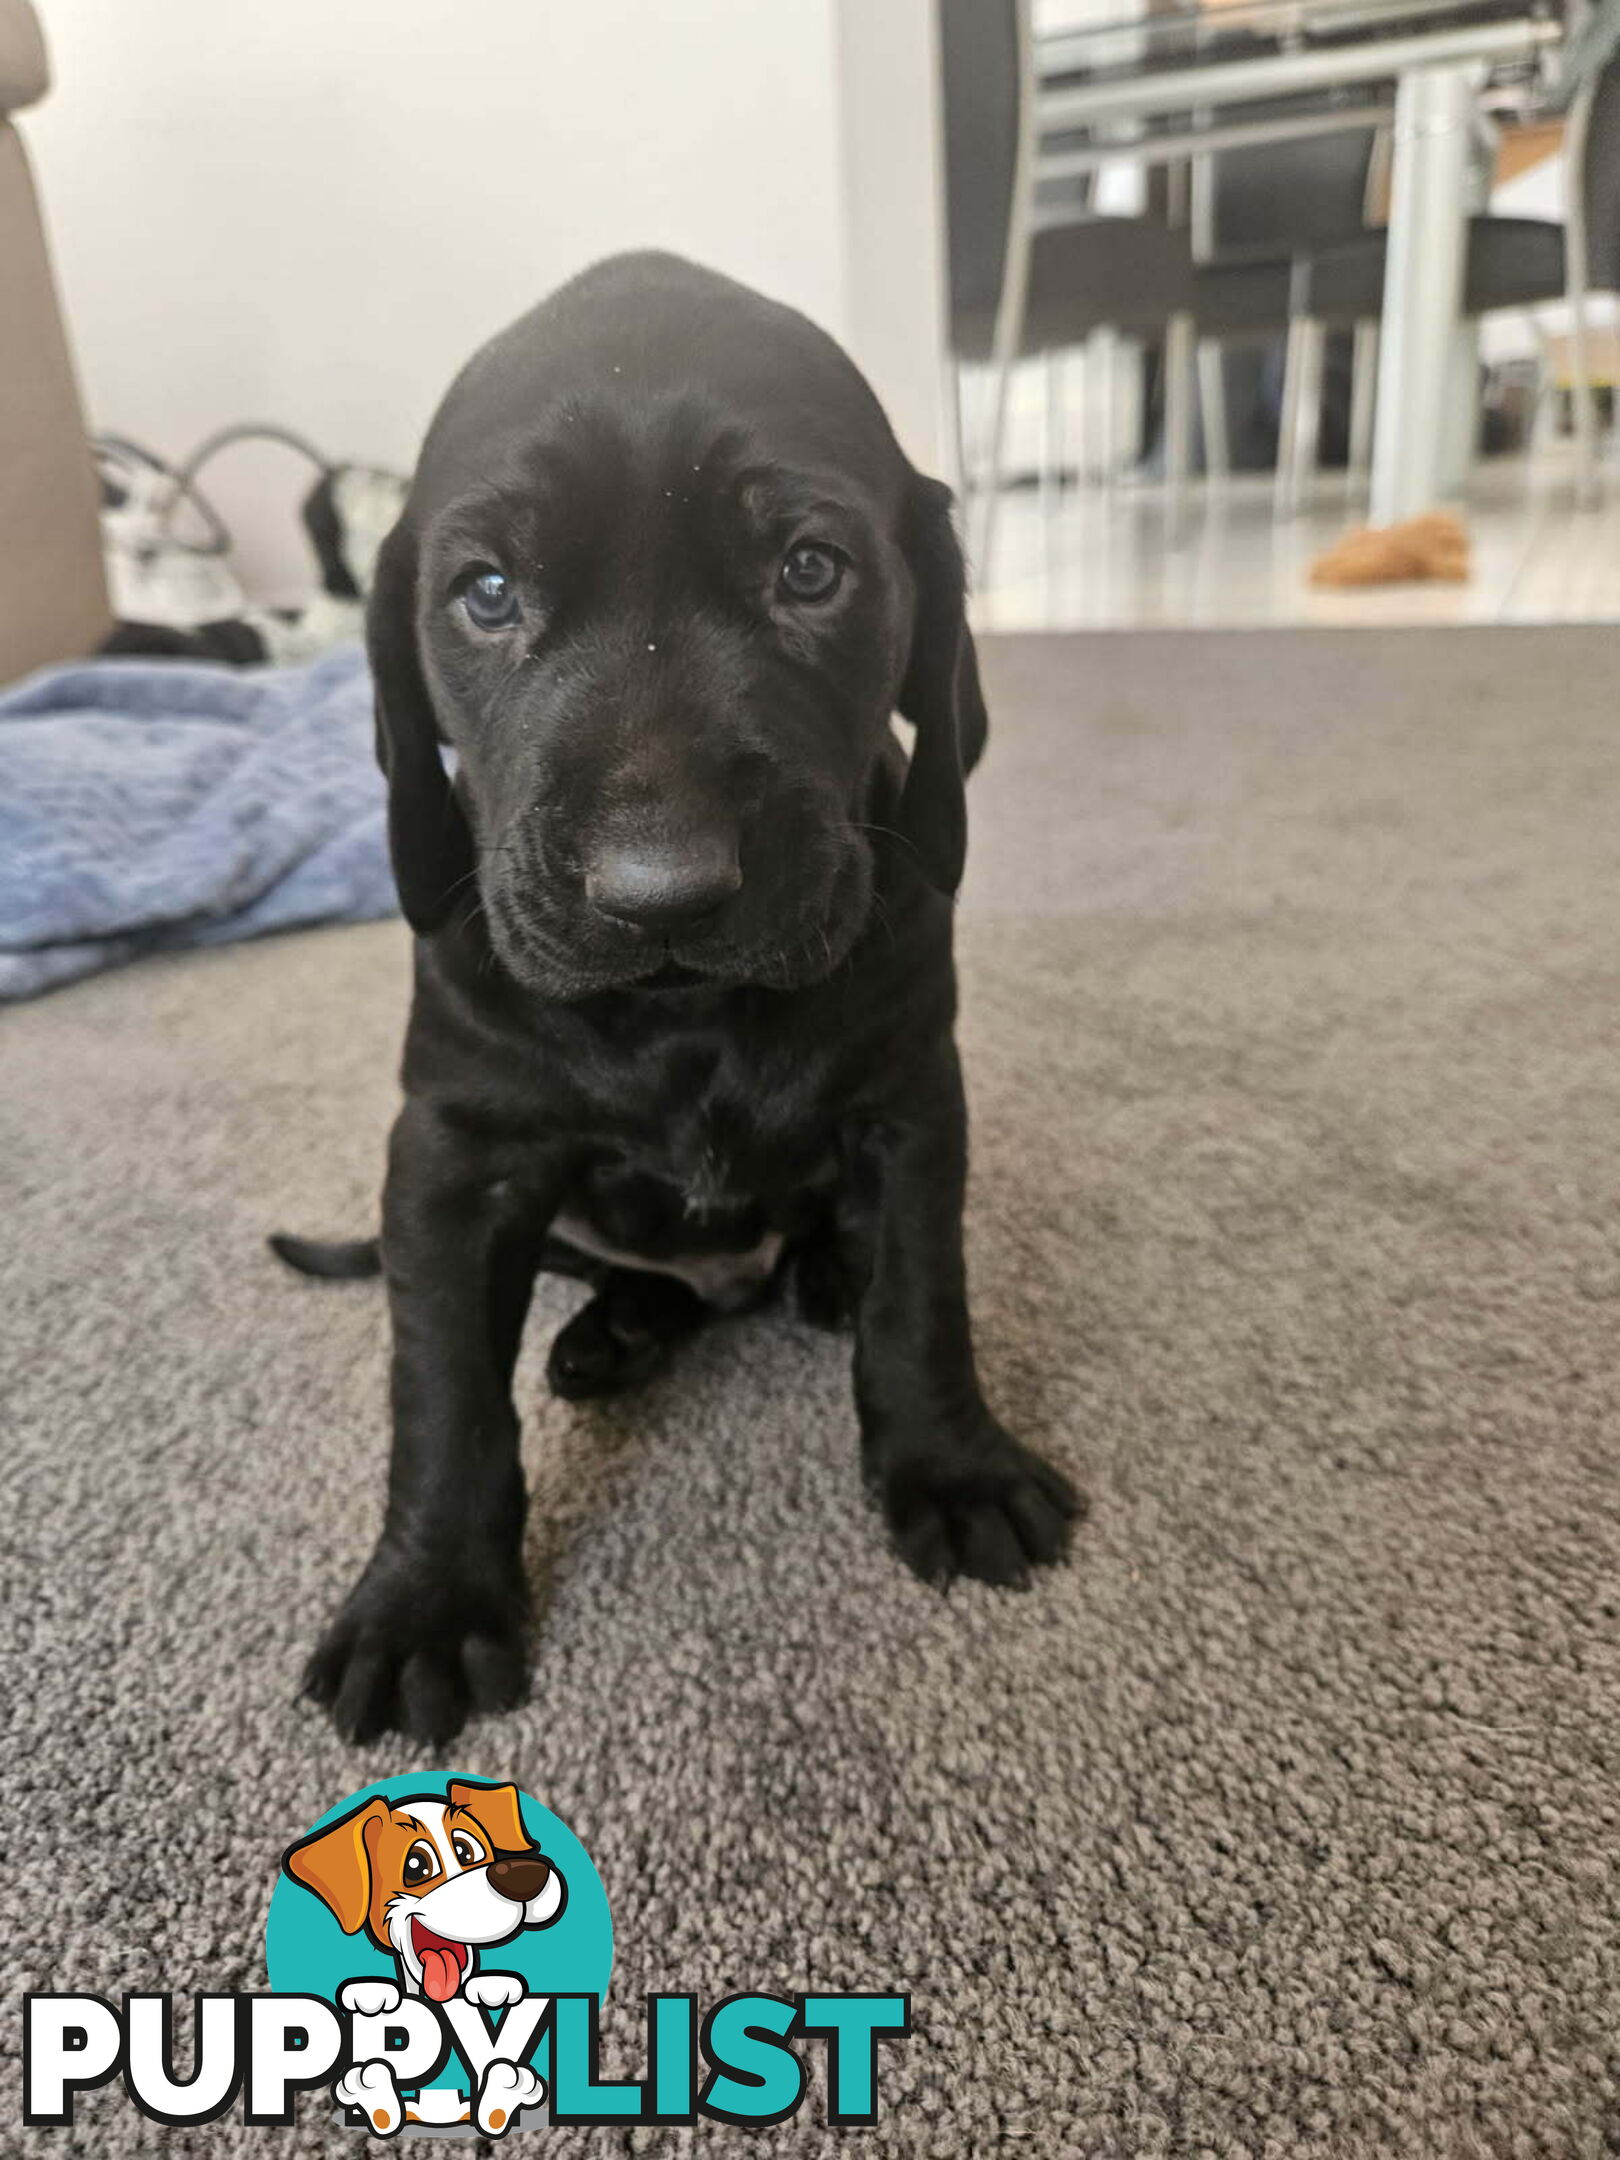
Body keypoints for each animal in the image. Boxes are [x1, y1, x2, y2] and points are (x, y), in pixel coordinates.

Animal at [285, 252, 1084, 1745]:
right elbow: (444, 1394)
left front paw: (952, 1467)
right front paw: (426, 1599)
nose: (661, 892)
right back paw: (615, 1331)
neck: (686, 1021)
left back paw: (809, 1277)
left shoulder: (909, 1108)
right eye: (487, 591)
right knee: (616, 1274)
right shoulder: (453, 1162)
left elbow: (922, 1303)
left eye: (811, 569)